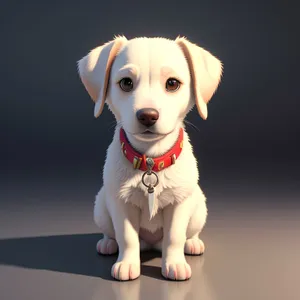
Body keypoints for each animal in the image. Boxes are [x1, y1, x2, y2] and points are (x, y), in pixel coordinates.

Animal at [77, 35, 223, 282]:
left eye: (172, 83)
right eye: (126, 83)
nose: (147, 115)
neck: (151, 161)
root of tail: (152, 245)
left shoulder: (180, 203)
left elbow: (174, 236)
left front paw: (174, 264)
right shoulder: (121, 203)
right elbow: (127, 236)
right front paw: (127, 264)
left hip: (198, 209)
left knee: (186, 234)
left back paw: (192, 244)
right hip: (101, 207)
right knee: (114, 233)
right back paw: (108, 243)